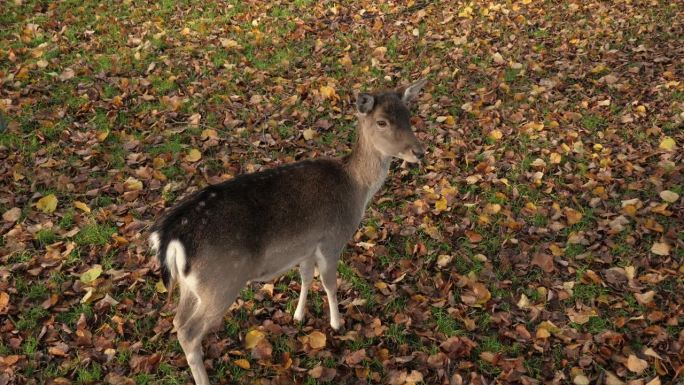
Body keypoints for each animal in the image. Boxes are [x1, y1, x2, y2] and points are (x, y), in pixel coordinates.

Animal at [150, 79, 428, 384]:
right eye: (382, 122)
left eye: (408, 115)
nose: (419, 152)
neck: (356, 188)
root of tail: (170, 237)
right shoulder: (332, 239)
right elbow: (330, 283)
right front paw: (337, 323)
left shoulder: (306, 246)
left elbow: (306, 277)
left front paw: (298, 316)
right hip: (221, 282)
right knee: (189, 332)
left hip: (191, 286)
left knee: (178, 322)